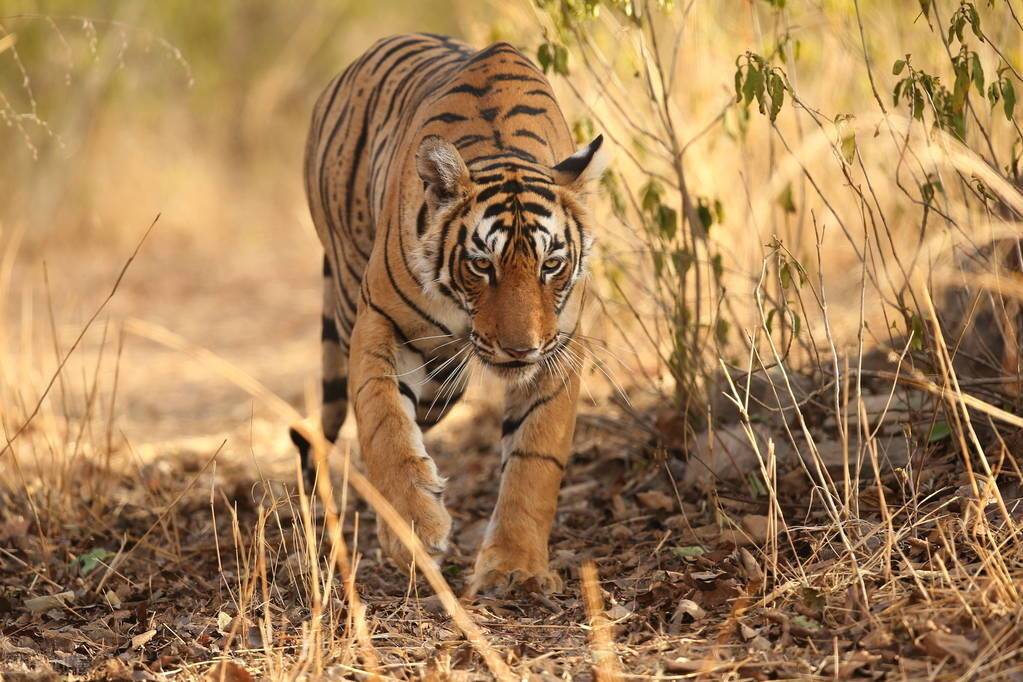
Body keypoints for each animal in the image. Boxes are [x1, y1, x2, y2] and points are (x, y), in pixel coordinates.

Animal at [290, 33, 605, 597]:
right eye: (482, 265)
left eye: (550, 265)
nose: (520, 349)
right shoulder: (379, 321)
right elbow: (384, 422)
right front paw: (416, 527)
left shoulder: (561, 350)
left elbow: (535, 460)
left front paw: (516, 566)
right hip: (352, 292)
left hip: (444, 379)